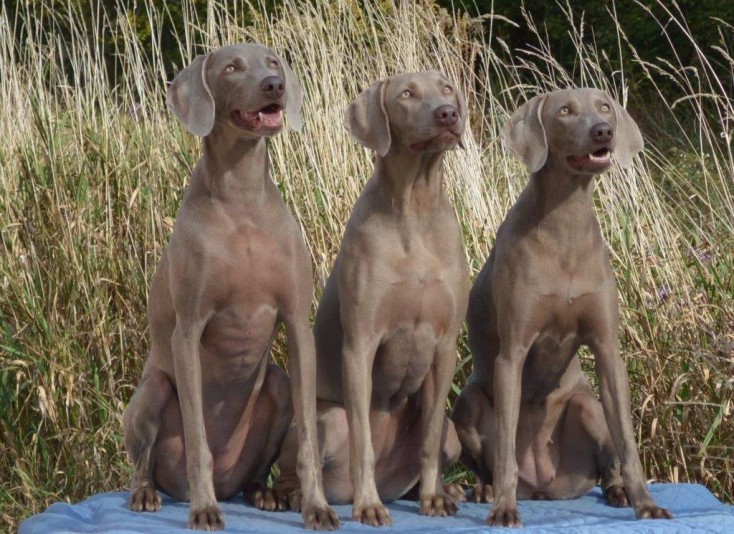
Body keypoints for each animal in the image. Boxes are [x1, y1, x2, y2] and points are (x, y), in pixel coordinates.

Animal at [121, 44, 340, 532]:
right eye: (232, 68)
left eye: (273, 62)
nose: (274, 86)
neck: (242, 199)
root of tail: (229, 484)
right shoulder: (188, 331)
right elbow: (199, 441)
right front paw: (204, 511)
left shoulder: (298, 325)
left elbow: (309, 443)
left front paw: (317, 507)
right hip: (153, 391)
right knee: (144, 462)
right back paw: (150, 494)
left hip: (277, 385)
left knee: (260, 457)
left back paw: (263, 493)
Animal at [274, 71, 468, 528]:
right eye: (406, 94)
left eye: (446, 89)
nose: (447, 114)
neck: (414, 208)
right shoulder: (360, 344)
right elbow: (363, 437)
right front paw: (369, 506)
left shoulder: (445, 347)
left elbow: (430, 437)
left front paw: (433, 498)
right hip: (328, 419)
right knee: (307, 460)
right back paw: (290, 498)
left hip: (453, 431)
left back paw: (444, 490)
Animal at [454, 88, 680, 528]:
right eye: (564, 111)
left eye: (605, 106)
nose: (604, 130)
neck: (565, 226)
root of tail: (545, 485)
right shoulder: (512, 355)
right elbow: (505, 451)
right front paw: (504, 508)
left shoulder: (609, 351)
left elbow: (629, 444)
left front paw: (646, 503)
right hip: (466, 404)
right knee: (491, 453)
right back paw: (487, 490)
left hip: (587, 406)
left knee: (606, 457)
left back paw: (618, 492)